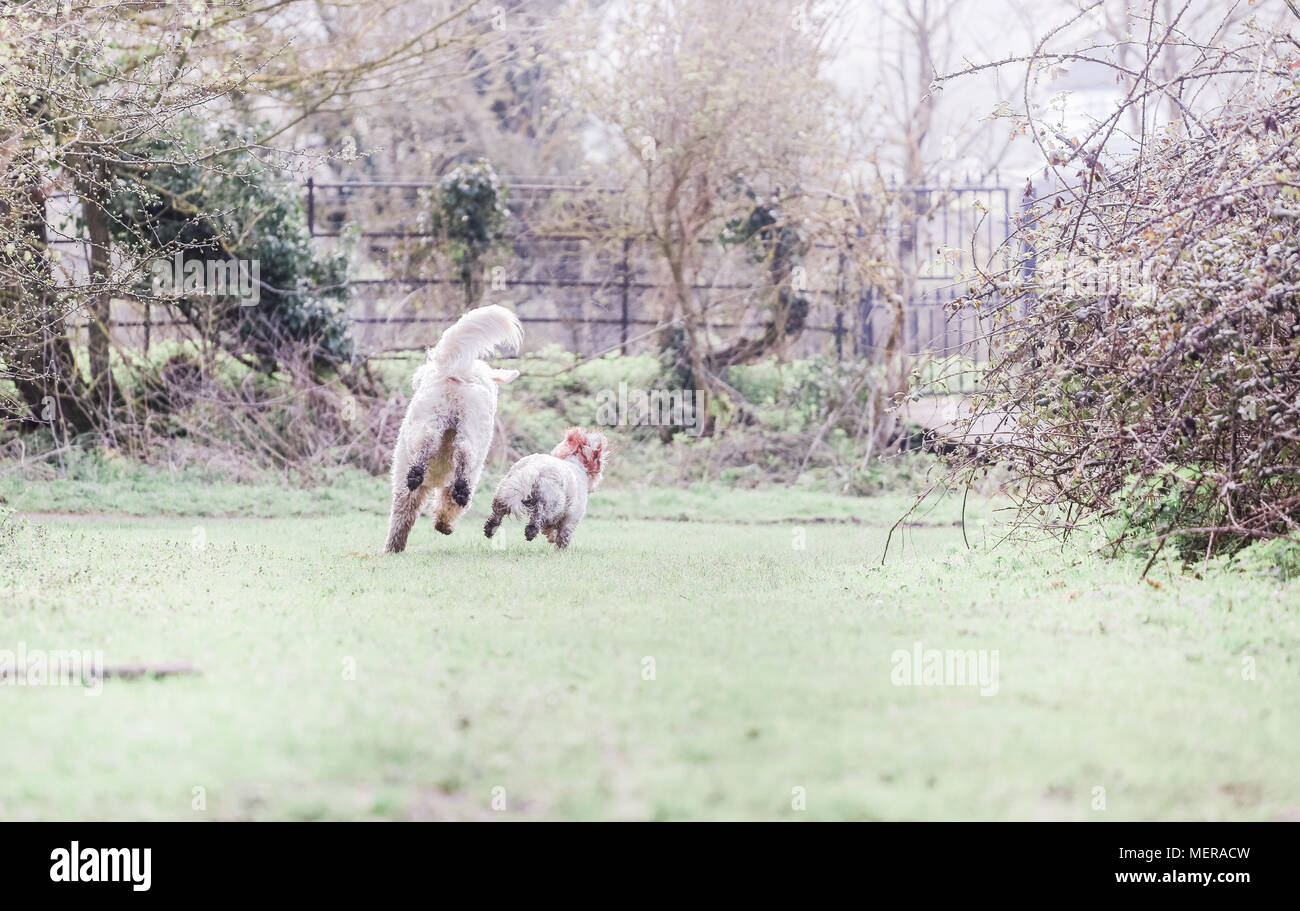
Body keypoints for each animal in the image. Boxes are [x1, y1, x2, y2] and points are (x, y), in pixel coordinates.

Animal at [384, 301, 522, 551]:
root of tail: (454, 371)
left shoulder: (406, 492)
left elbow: (403, 517)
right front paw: (442, 525)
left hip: (433, 421)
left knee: (431, 446)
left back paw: (419, 474)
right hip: (470, 433)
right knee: (462, 460)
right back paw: (456, 490)